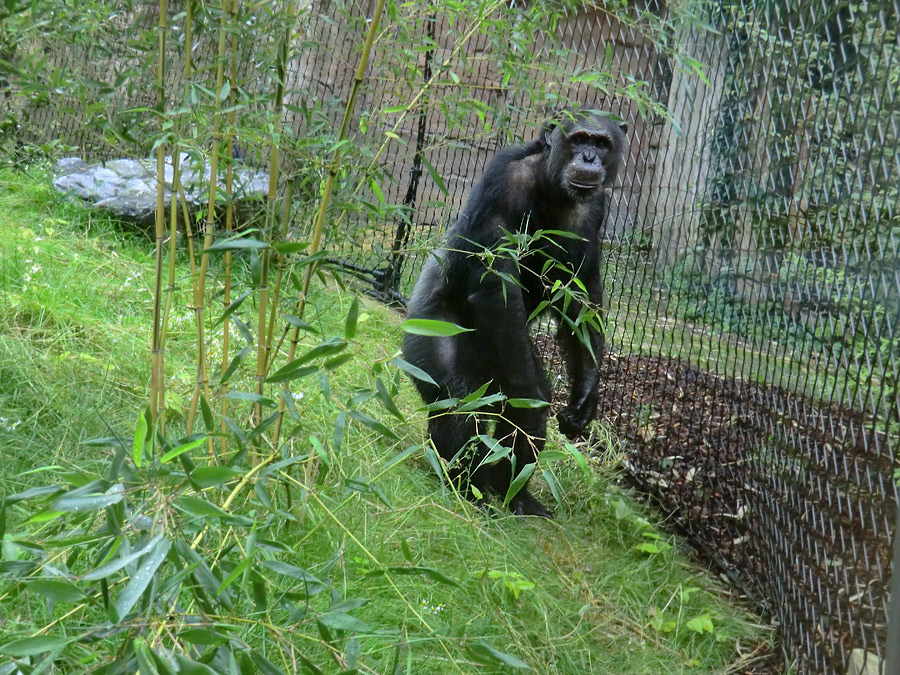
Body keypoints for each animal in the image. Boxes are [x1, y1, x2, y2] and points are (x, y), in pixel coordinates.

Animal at [400, 111, 624, 516]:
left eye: (602, 143)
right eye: (579, 138)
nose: (588, 158)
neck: (551, 185)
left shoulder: (597, 209)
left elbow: (580, 295)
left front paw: (585, 396)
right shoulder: (504, 182)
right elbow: (496, 287)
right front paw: (527, 402)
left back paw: (512, 493)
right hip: (430, 332)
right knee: (461, 403)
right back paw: (466, 487)